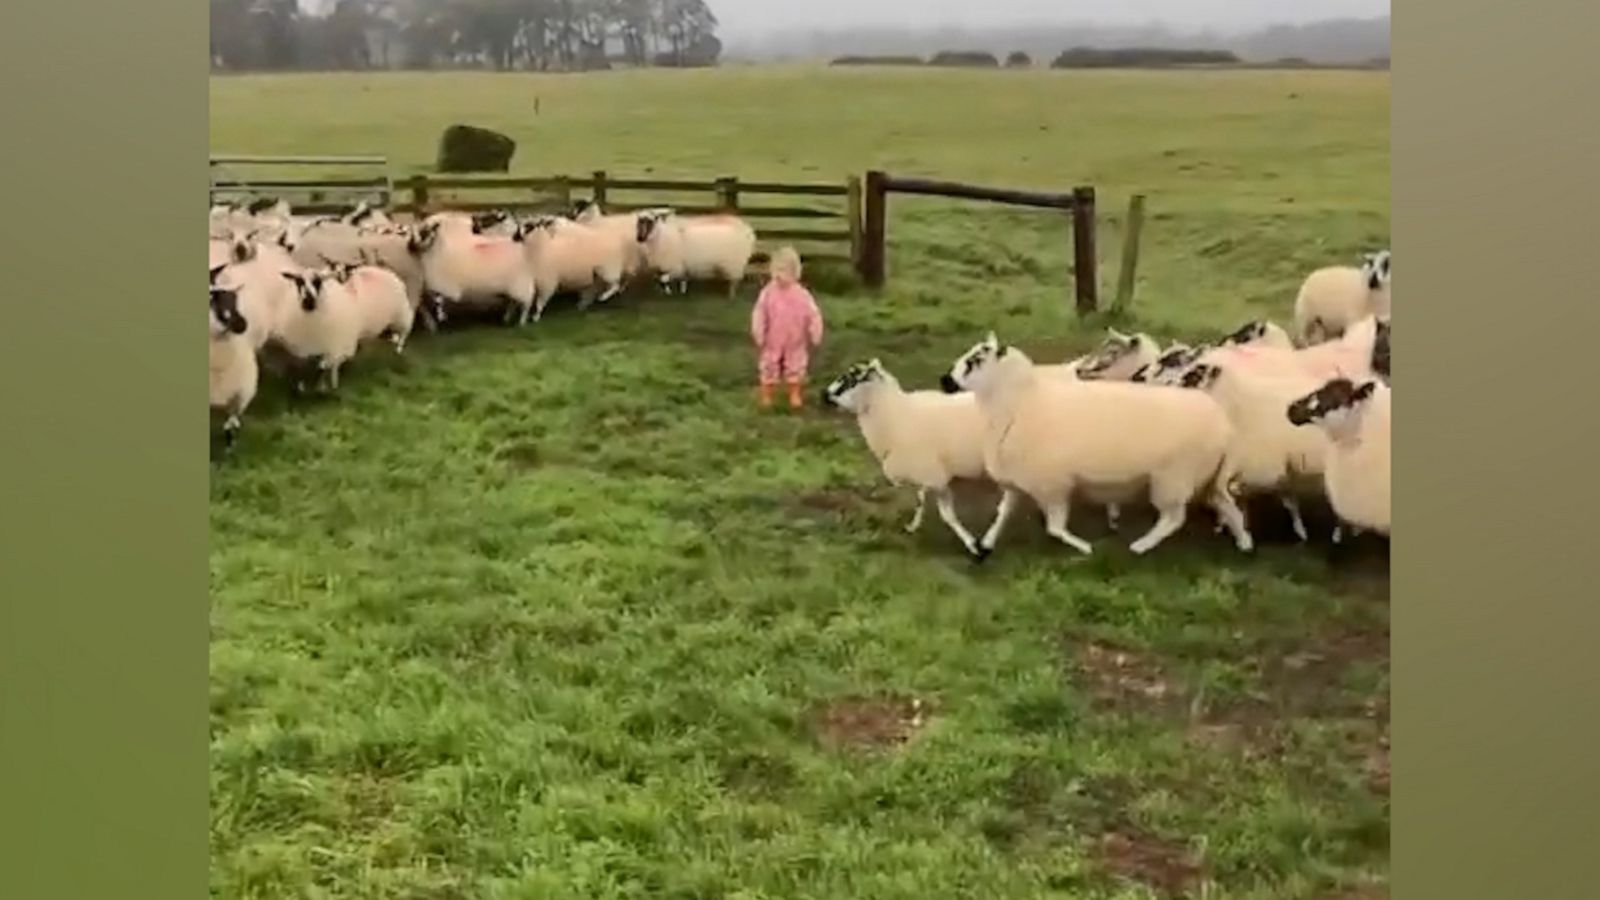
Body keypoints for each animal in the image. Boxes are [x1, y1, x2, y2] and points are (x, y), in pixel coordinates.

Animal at [208, 281, 257, 448]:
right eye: (220, 306)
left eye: (236, 304)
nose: (243, 325)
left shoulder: (240, 396)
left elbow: (231, 423)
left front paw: (230, 443)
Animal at [406, 217, 537, 325]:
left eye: (424, 232)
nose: (410, 246)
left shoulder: (443, 286)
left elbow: (436, 301)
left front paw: (440, 317)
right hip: (513, 287)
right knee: (513, 302)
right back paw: (507, 318)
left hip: (521, 284)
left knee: (526, 303)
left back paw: (522, 322)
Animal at [819, 357, 992, 554]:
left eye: (850, 379)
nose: (823, 395)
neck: (897, 414)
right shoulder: (929, 474)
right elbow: (921, 499)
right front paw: (912, 526)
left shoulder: (933, 474)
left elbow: (946, 514)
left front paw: (973, 545)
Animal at [934, 333, 1248, 557]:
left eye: (976, 359)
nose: (945, 380)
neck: (1020, 402)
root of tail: (1224, 423)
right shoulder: (1019, 482)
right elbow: (1003, 514)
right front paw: (984, 545)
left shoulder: (1053, 485)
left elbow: (1055, 528)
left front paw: (1084, 547)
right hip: (1201, 477)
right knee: (1225, 504)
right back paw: (1244, 541)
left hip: (1173, 478)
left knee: (1173, 518)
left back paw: (1141, 545)